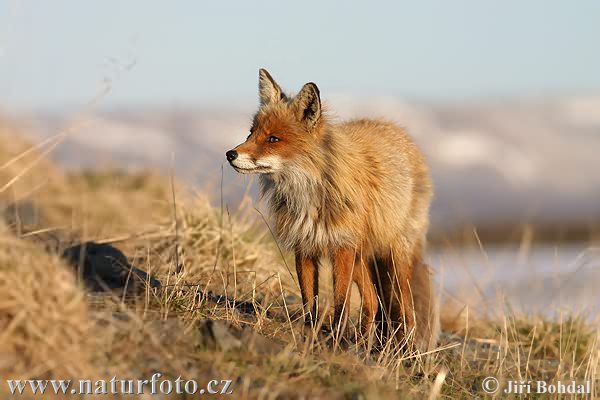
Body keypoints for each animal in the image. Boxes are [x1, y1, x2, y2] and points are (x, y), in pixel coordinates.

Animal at [227, 70, 438, 352]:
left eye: (273, 139)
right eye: (251, 133)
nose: (230, 154)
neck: (310, 195)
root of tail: (399, 132)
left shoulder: (342, 248)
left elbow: (340, 303)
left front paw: (337, 340)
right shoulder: (304, 246)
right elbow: (309, 301)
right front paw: (311, 336)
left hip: (393, 260)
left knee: (405, 308)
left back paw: (404, 350)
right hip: (363, 259)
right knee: (373, 302)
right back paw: (366, 343)